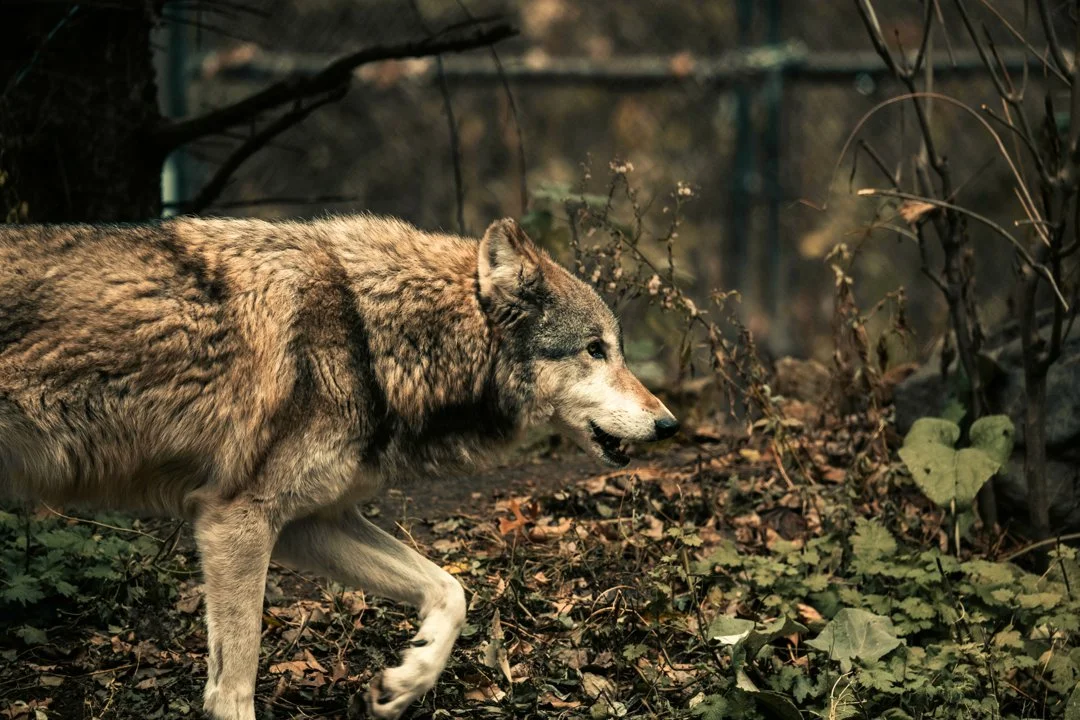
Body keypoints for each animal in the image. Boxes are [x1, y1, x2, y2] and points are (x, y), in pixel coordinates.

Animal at [0, 215, 678, 720]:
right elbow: (234, 687)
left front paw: (406, 682)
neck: (369, 335)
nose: (668, 424)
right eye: (595, 349)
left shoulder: (310, 523)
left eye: (614, 349)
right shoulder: (234, 523)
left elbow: (451, 590)